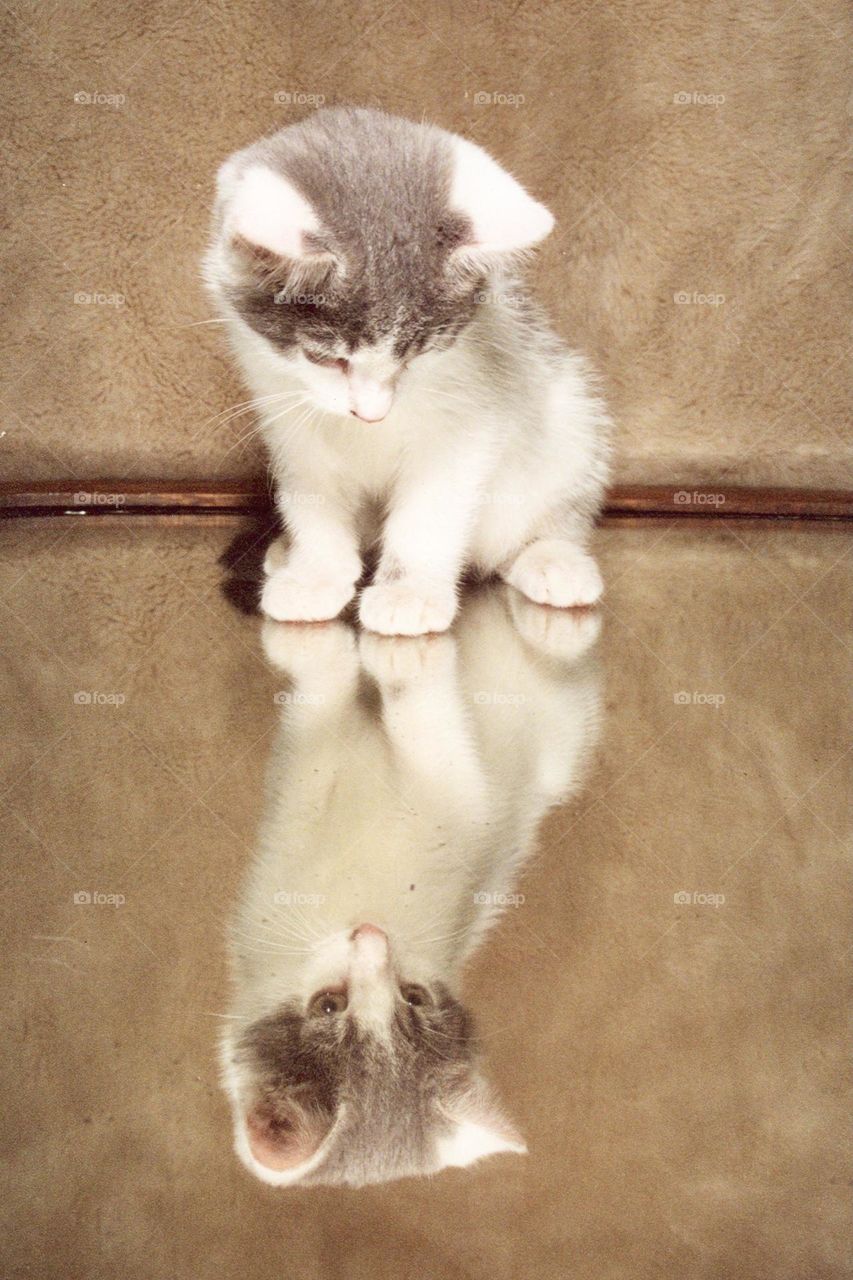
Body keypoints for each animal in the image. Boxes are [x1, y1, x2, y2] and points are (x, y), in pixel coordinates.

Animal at [202, 107, 607, 637]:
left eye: (417, 354)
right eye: (328, 359)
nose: (371, 414)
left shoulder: (471, 414)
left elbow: (430, 510)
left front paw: (409, 591)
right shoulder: (285, 410)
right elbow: (313, 495)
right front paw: (315, 573)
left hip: (568, 415)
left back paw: (553, 560)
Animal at [222, 588, 601, 1187]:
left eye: (413, 996)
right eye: (328, 1007)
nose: (371, 935)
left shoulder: (458, 794)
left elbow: (424, 734)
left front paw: (397, 655)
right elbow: (323, 710)